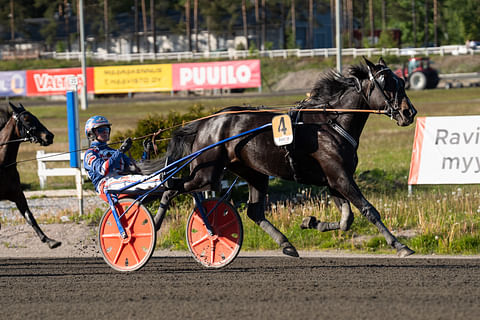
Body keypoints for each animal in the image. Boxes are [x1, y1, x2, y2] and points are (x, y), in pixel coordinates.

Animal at [0, 104, 61, 249]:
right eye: (27, 119)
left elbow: (29, 216)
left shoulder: (18, 194)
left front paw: (49, 240)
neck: (3, 165)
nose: (49, 136)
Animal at [145, 57, 416, 258]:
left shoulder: (333, 180)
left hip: (253, 172)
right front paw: (400, 245)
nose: (409, 113)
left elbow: (346, 219)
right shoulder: (339, 177)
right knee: (170, 187)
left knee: (254, 211)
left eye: (401, 81)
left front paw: (311, 222)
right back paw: (153, 225)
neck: (332, 122)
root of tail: (205, 123)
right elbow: (369, 210)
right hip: (205, 172)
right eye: (387, 83)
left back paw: (287, 244)